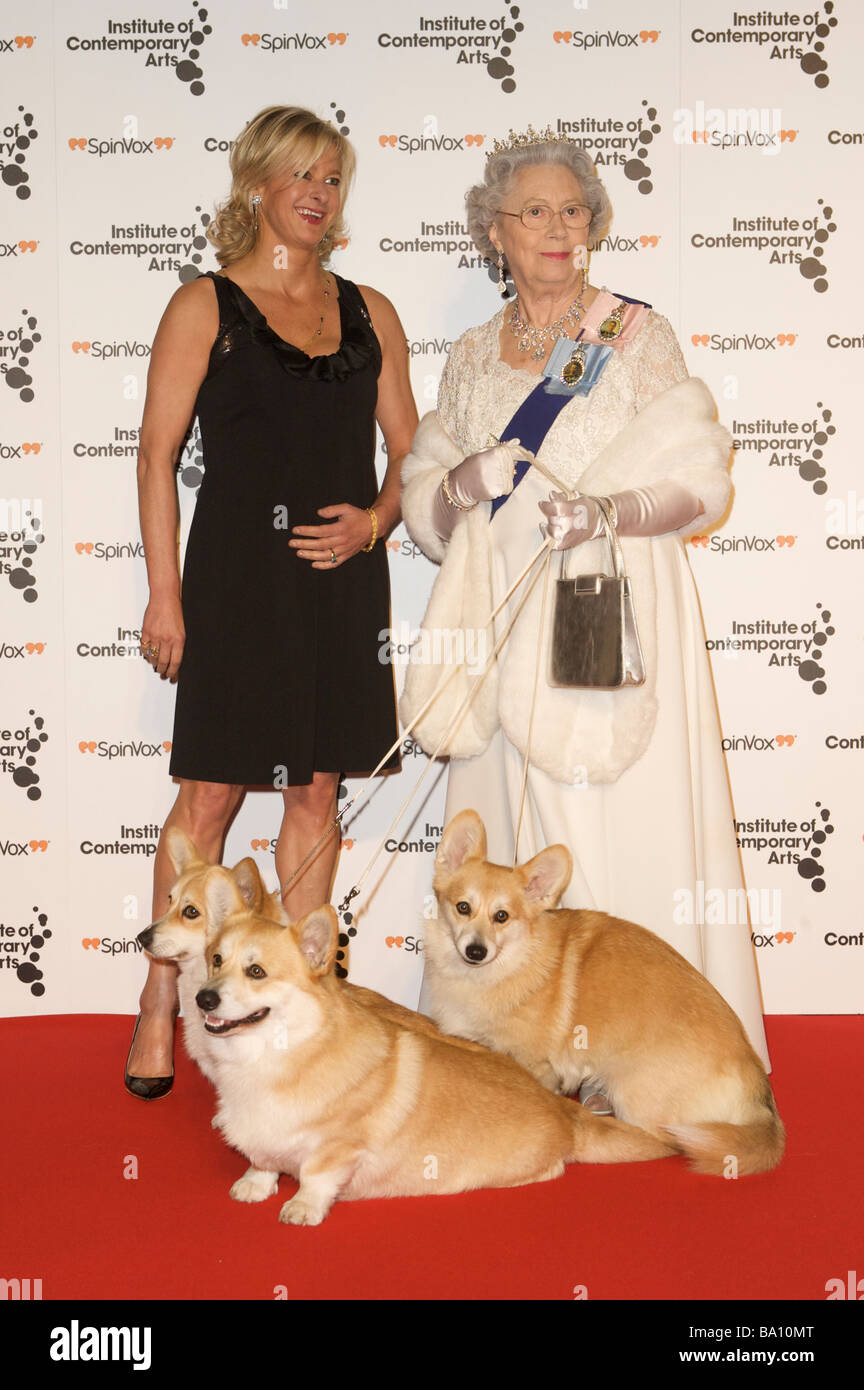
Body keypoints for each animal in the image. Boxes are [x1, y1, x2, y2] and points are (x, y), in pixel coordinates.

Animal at [194, 867, 677, 1228]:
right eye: (215, 959)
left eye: (257, 971)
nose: (203, 999)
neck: (275, 1053)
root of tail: (565, 1112)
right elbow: (262, 1161)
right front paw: (255, 1186)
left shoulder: (339, 1148)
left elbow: (315, 1176)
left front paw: (301, 1208)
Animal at [430, 811, 788, 1178]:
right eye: (462, 907)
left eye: (501, 916)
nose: (475, 951)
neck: (504, 967)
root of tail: (758, 1091)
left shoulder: (536, 1065)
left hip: (632, 1090)